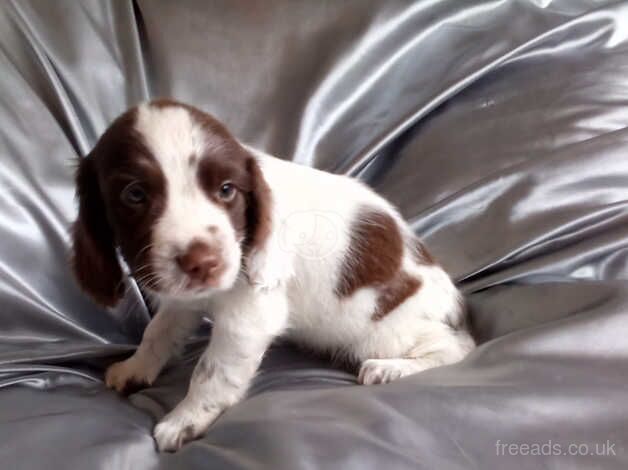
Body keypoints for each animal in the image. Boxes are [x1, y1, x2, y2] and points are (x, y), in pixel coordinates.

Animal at [71, 99, 474, 452]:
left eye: (227, 190)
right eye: (134, 194)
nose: (204, 263)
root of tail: (456, 308)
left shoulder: (249, 316)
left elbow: (210, 371)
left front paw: (183, 420)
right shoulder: (183, 298)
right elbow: (158, 332)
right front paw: (135, 368)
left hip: (381, 330)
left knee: (456, 347)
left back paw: (390, 369)